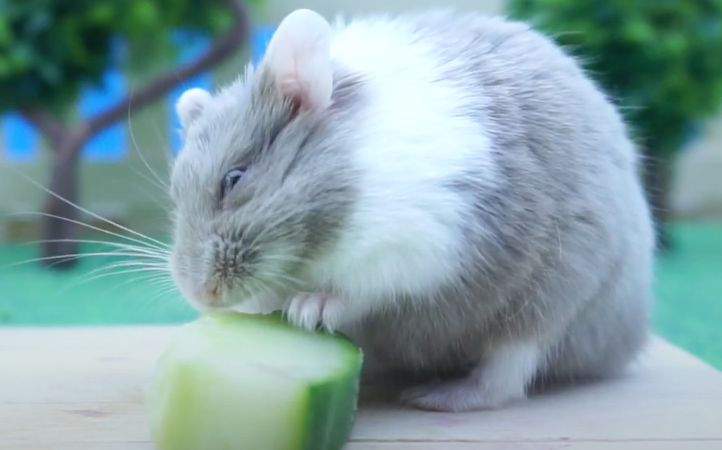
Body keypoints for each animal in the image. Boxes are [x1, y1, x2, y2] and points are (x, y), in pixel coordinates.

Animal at [167, 8, 652, 414]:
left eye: (234, 178)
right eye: (175, 192)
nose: (202, 297)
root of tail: (626, 341)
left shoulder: (413, 247)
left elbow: (362, 291)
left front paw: (308, 308)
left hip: (551, 304)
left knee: (506, 376)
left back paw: (436, 396)